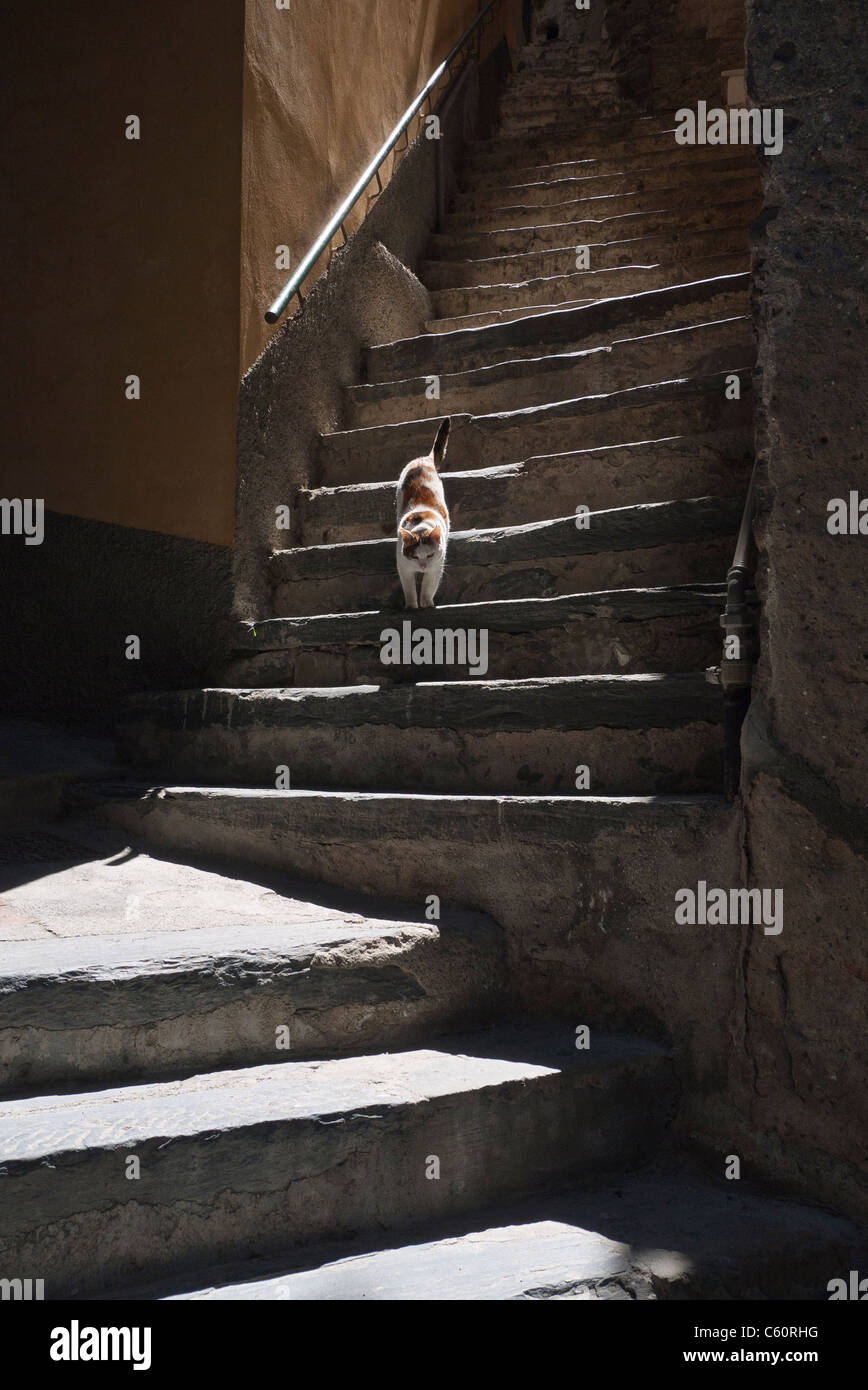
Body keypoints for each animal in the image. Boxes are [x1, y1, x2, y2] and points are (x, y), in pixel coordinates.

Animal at [397, 414, 450, 606]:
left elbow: (428, 587)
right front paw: (412, 607)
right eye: (415, 557)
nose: (422, 567)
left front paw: (427, 604)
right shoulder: (403, 566)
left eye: (429, 555)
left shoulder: (437, 565)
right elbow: (409, 590)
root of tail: (425, 459)